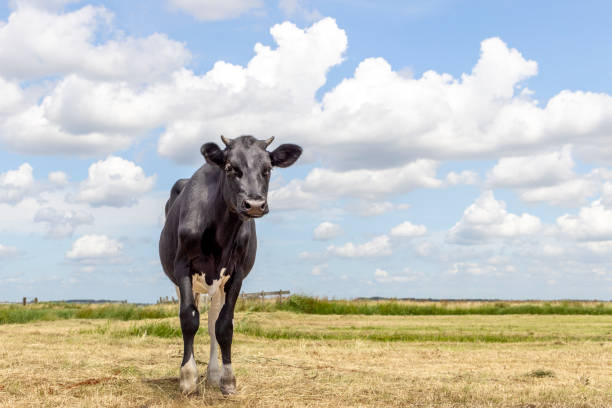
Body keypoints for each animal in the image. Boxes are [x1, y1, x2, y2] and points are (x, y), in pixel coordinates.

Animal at [158, 135, 302, 396]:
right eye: (229, 168)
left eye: (268, 169)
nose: (254, 204)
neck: (220, 234)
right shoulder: (182, 267)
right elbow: (188, 319)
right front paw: (188, 377)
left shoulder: (237, 274)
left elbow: (223, 326)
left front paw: (227, 378)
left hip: (218, 285)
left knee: (212, 322)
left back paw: (213, 373)